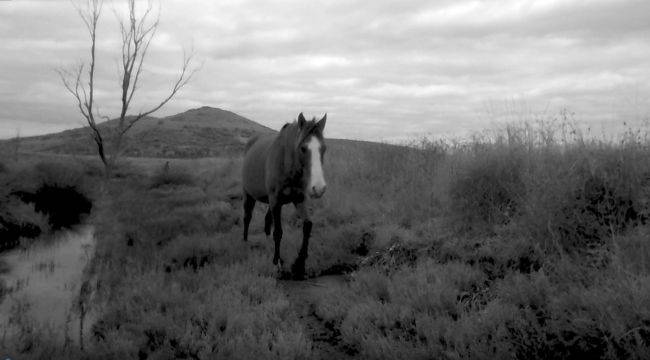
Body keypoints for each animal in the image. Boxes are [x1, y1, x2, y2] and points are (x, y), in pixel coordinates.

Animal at [240, 112, 326, 278]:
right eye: (303, 148)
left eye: (323, 148)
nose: (318, 188)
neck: (286, 165)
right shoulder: (276, 201)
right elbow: (278, 232)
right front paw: (277, 263)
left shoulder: (299, 199)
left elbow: (307, 225)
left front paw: (300, 264)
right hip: (249, 195)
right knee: (247, 217)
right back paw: (245, 242)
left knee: (267, 221)